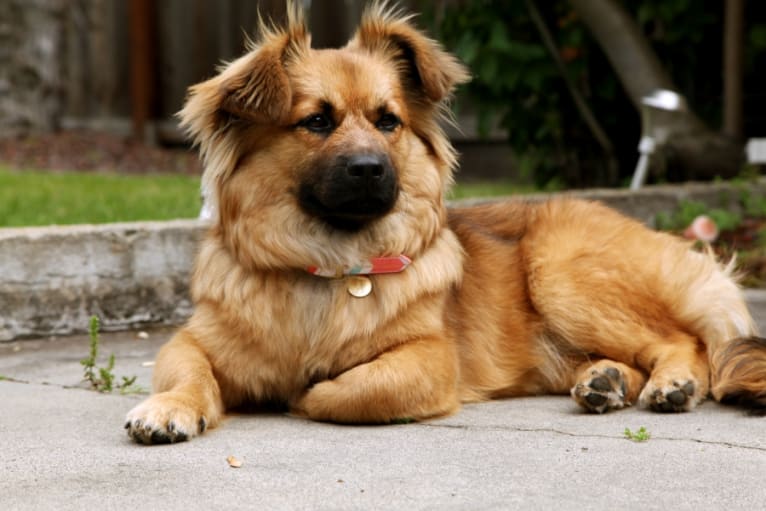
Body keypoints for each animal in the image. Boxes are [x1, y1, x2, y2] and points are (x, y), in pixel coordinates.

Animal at [123, 2, 764, 444]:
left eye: (388, 121)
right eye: (317, 121)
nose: (370, 170)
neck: (328, 263)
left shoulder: (429, 360)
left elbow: (341, 391)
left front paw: (303, 393)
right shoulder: (191, 341)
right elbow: (187, 373)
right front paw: (170, 407)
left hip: (561, 273)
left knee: (682, 339)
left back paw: (672, 383)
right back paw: (606, 382)